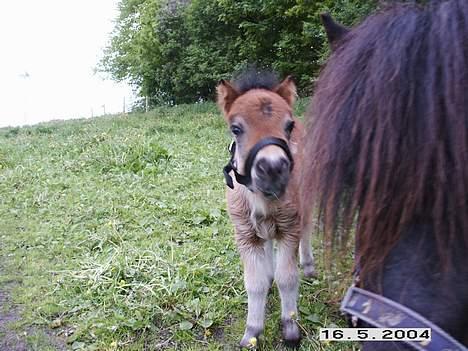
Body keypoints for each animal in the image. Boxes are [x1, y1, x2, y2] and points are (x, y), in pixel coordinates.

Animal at [217, 72, 314, 350]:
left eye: (288, 126)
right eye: (236, 129)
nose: (272, 168)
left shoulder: (290, 228)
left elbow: (288, 277)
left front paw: (291, 329)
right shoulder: (245, 235)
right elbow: (255, 283)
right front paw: (251, 333)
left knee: (308, 228)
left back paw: (309, 266)